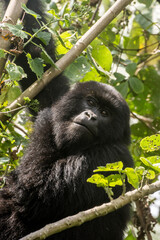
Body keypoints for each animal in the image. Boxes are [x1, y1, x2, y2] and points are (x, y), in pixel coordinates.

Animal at [0, 0, 134, 240]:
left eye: (105, 113)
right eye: (90, 101)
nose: (91, 115)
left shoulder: (114, 157)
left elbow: (33, 189)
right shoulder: (56, 99)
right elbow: (36, 52)